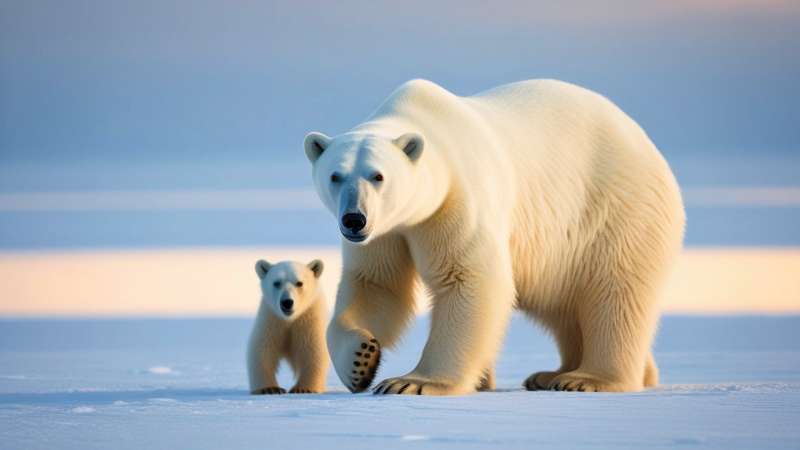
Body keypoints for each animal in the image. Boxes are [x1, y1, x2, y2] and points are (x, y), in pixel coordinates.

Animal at [247, 259, 329, 394]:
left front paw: (303, 388)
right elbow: (263, 350)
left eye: (299, 283)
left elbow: (313, 350)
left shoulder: (308, 321)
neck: (290, 320)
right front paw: (269, 388)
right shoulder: (272, 321)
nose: (287, 302)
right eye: (276, 282)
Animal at [303, 79, 685, 395]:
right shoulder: (388, 231)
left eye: (378, 175)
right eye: (335, 175)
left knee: (615, 292)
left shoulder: (458, 200)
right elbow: (376, 284)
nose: (354, 219)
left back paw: (586, 378)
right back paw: (554, 374)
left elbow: (469, 278)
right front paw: (361, 361)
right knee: (564, 304)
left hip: (617, 210)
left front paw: (411, 382)